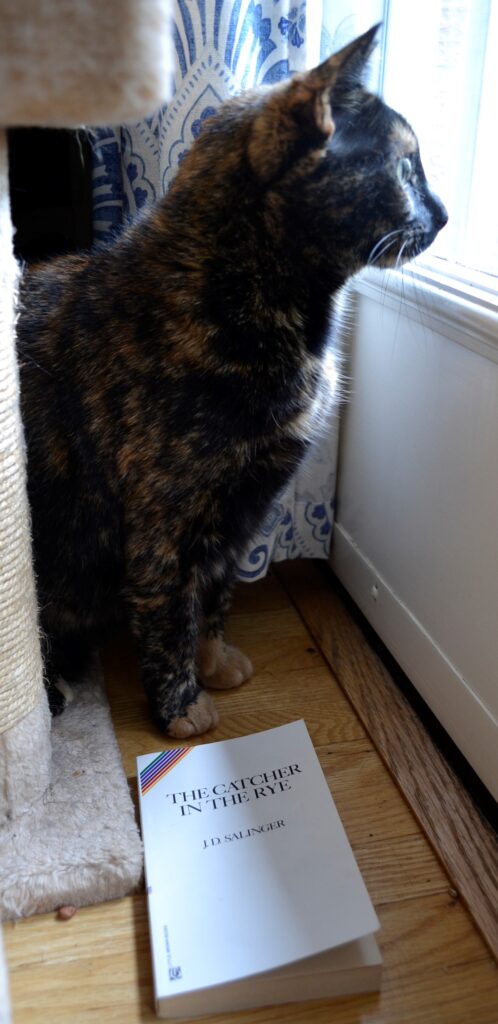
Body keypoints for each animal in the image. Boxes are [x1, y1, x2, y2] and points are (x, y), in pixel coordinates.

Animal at [18, 25, 446, 737]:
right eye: (406, 168)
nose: (441, 214)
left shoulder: (244, 505)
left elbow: (215, 593)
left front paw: (215, 663)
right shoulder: (164, 517)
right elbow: (169, 610)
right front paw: (181, 707)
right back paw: (52, 693)